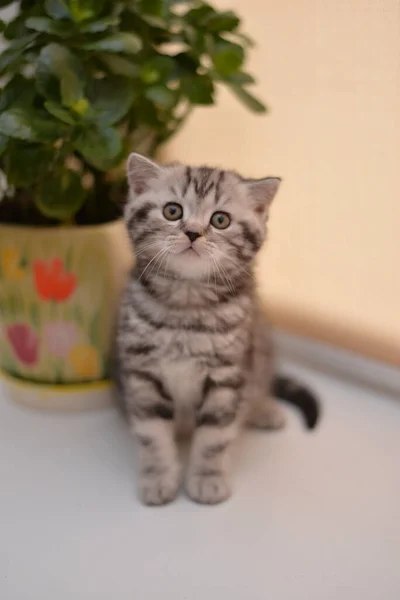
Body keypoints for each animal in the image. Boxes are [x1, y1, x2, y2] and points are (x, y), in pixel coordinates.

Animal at [114, 152, 320, 504]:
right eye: (172, 211)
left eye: (220, 220)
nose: (193, 232)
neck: (187, 305)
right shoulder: (142, 374)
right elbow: (153, 434)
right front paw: (158, 477)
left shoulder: (228, 377)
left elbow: (214, 437)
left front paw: (207, 478)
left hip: (259, 344)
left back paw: (265, 410)